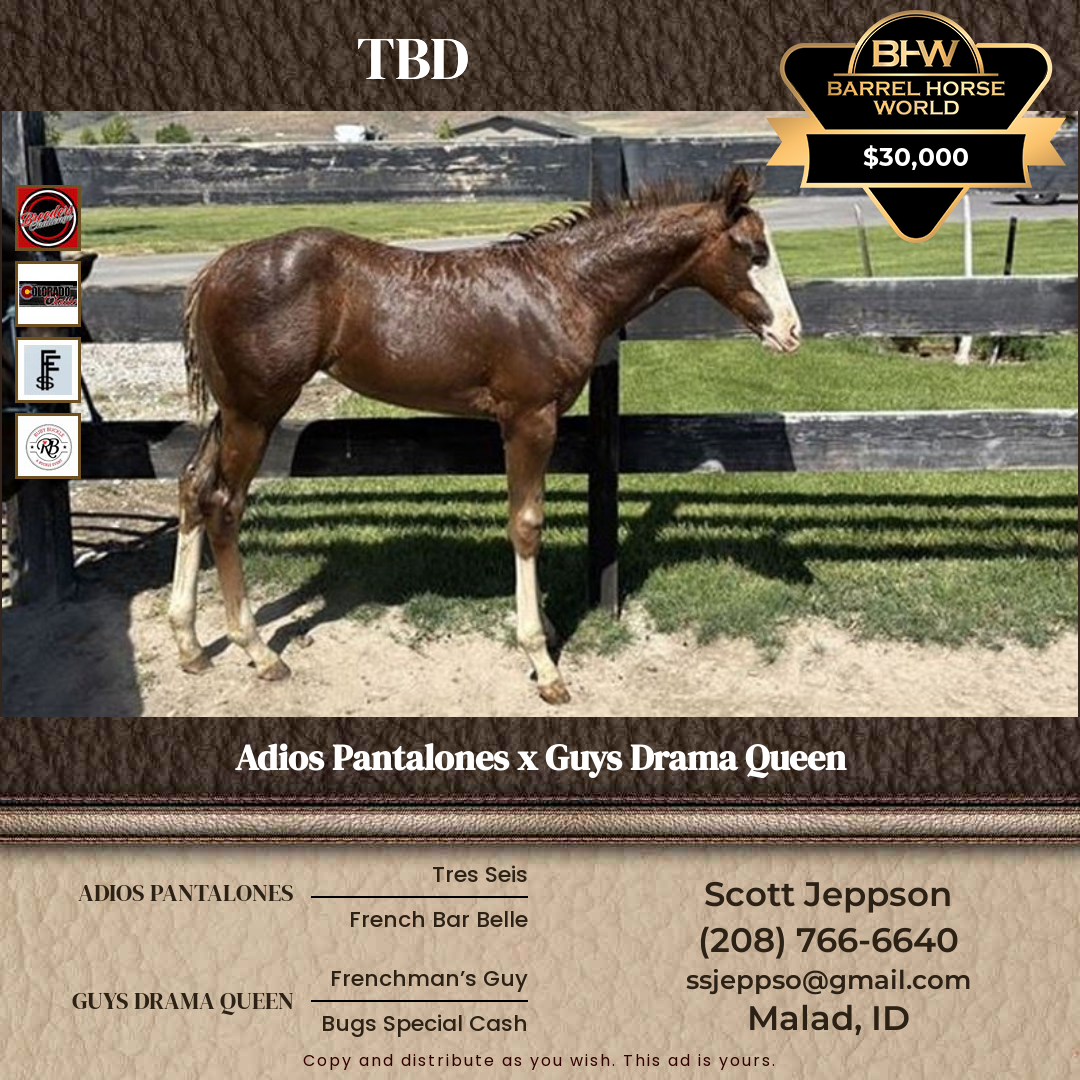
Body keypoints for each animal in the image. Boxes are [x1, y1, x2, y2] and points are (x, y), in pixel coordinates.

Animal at [169, 167, 801, 704]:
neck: (564, 286)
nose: (792, 333)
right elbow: (526, 525)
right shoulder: (528, 419)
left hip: (233, 411)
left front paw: (546, 628)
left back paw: (190, 644)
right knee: (225, 504)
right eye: (755, 252)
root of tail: (213, 271)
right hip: (256, 412)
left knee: (193, 487)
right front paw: (543, 662)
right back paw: (258, 651)